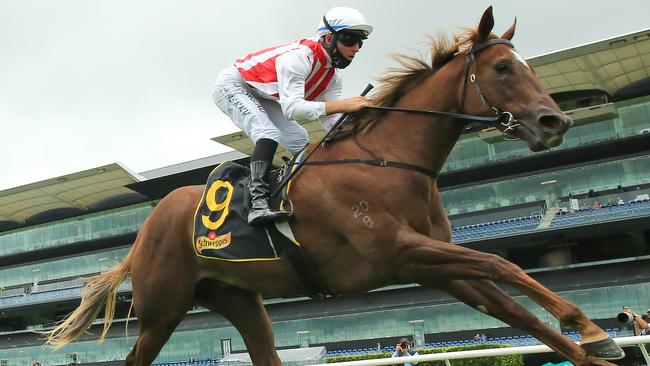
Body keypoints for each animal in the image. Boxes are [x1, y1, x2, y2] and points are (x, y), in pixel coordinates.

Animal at [45, 6, 624, 366]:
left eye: (525, 66)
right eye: (503, 67)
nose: (555, 122)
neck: (387, 160)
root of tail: (146, 228)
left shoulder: (435, 264)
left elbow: (513, 306)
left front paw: (594, 343)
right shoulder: (401, 251)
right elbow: (502, 264)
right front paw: (593, 328)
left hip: (240, 299)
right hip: (162, 307)